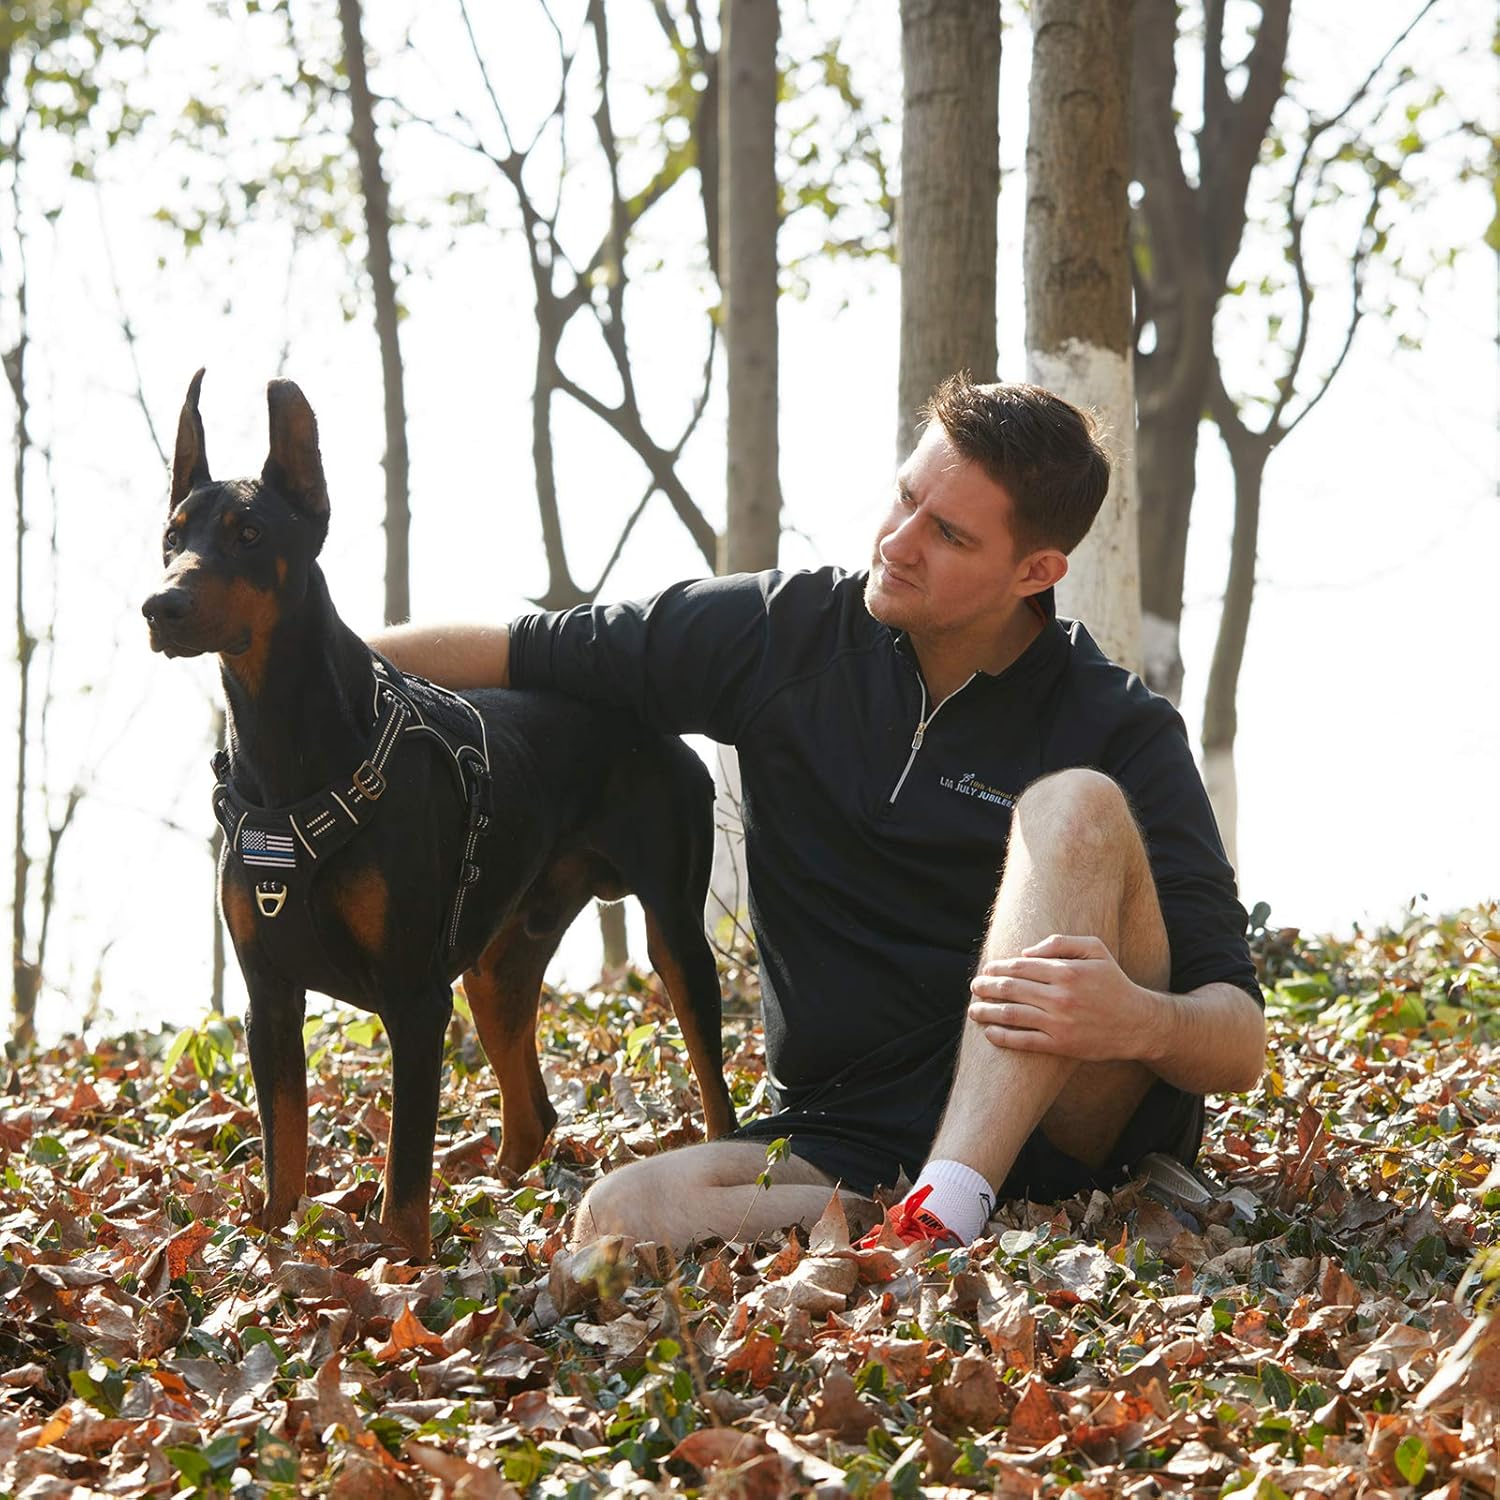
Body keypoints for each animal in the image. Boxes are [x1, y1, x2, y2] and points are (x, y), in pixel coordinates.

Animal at [142, 371, 736, 1257]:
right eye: (171, 535)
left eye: (248, 532)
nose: (161, 606)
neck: (286, 756)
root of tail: (653, 724)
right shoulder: (268, 997)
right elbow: (284, 1156)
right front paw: (272, 1258)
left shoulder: (415, 1001)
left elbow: (404, 1178)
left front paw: (398, 1273)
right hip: (497, 963)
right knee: (532, 1114)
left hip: (673, 931)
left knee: (711, 1084)